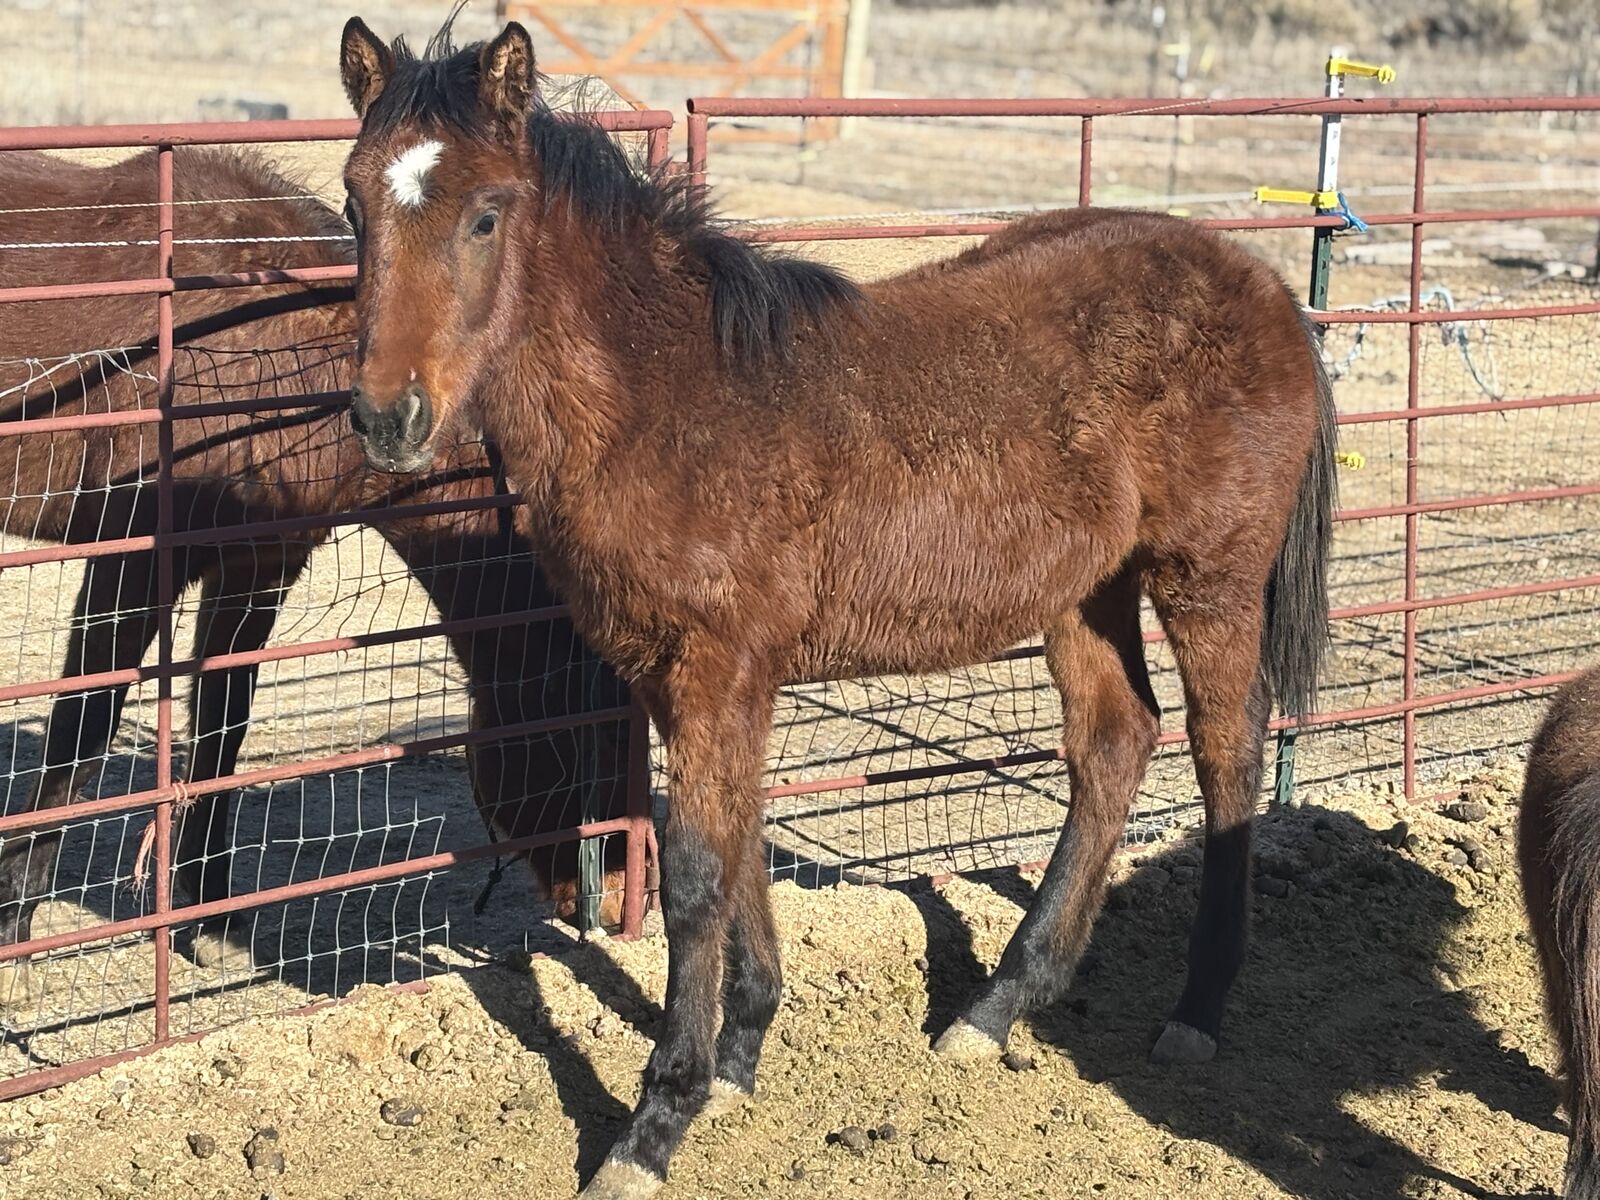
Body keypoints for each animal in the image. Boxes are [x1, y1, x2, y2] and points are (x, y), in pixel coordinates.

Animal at [0, 141, 637, 992]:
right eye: (590, 735)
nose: (624, 893)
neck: (275, 353)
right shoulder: (132, 561)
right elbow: (82, 730)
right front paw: (15, 928)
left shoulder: (256, 566)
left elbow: (223, 728)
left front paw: (212, 920)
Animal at [333, 17, 1336, 1196]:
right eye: (354, 202)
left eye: (486, 212)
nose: (388, 419)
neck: (669, 396)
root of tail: (1262, 283)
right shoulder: (692, 677)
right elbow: (737, 840)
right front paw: (739, 1056)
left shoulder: (715, 667)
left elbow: (695, 875)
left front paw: (655, 1121)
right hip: (1086, 592)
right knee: (1114, 744)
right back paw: (996, 1007)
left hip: (1207, 580)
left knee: (1227, 752)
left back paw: (1196, 1008)